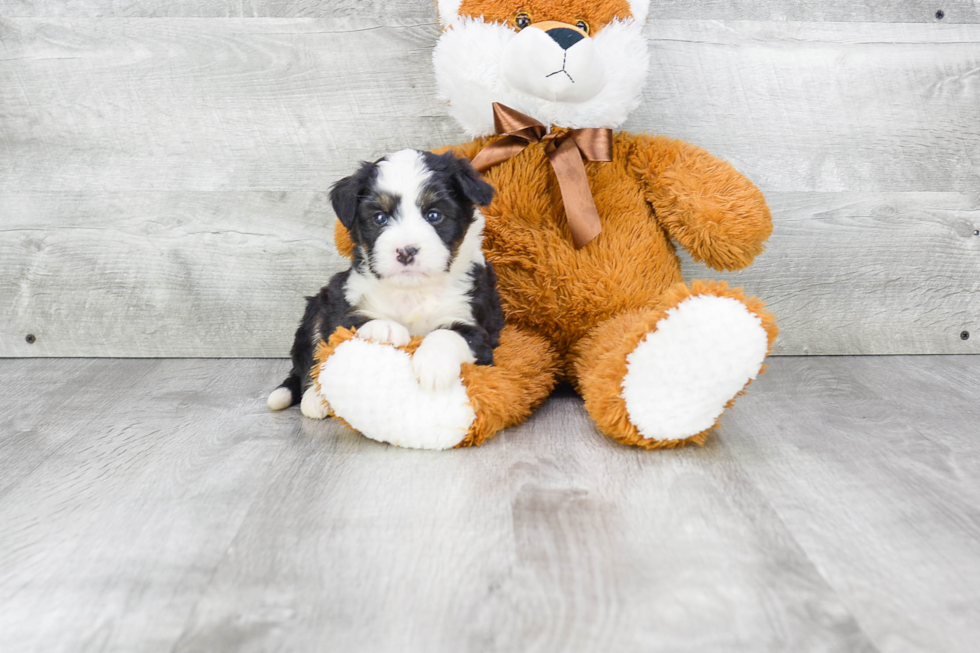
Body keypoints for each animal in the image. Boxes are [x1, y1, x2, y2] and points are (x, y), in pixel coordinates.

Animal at [268, 149, 506, 418]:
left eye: (434, 215)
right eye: (379, 217)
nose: (405, 251)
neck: (412, 291)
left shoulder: (478, 325)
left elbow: (448, 333)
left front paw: (433, 367)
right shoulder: (343, 304)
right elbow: (353, 324)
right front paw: (387, 330)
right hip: (318, 306)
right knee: (309, 360)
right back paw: (314, 399)